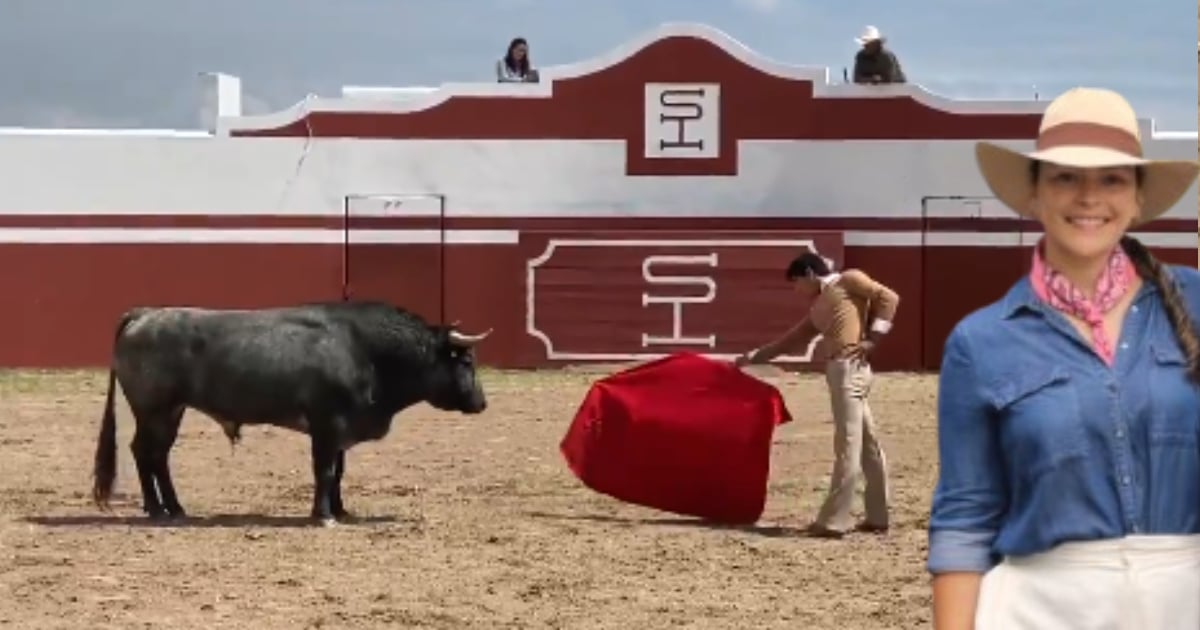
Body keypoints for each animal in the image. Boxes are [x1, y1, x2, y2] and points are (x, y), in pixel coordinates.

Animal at [87, 302, 492, 523]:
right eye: (466, 361)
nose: (481, 403)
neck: (366, 351)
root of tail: (146, 314)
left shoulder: (339, 431)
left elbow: (338, 473)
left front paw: (340, 510)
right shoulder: (327, 425)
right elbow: (325, 471)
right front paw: (323, 515)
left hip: (172, 411)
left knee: (159, 456)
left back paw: (175, 507)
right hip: (153, 409)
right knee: (144, 453)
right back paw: (157, 509)